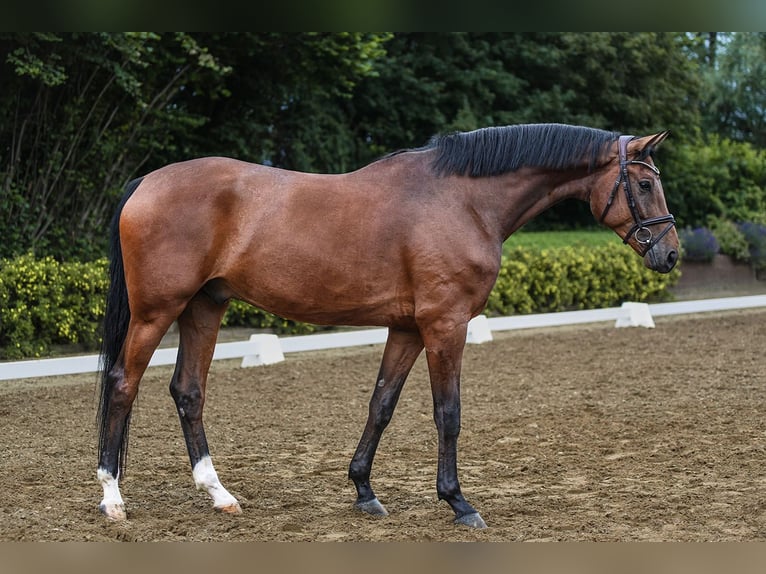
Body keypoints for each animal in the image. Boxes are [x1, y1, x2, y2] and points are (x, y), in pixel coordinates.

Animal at [96, 125, 680, 532]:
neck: (464, 201)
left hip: (204, 308)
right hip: (157, 312)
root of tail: (146, 182)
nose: (671, 254)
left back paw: (219, 494)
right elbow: (448, 414)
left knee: (188, 392)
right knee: (123, 386)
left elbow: (381, 405)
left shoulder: (407, 329)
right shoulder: (445, 325)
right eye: (645, 183)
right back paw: (112, 498)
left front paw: (364, 491)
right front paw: (458, 502)